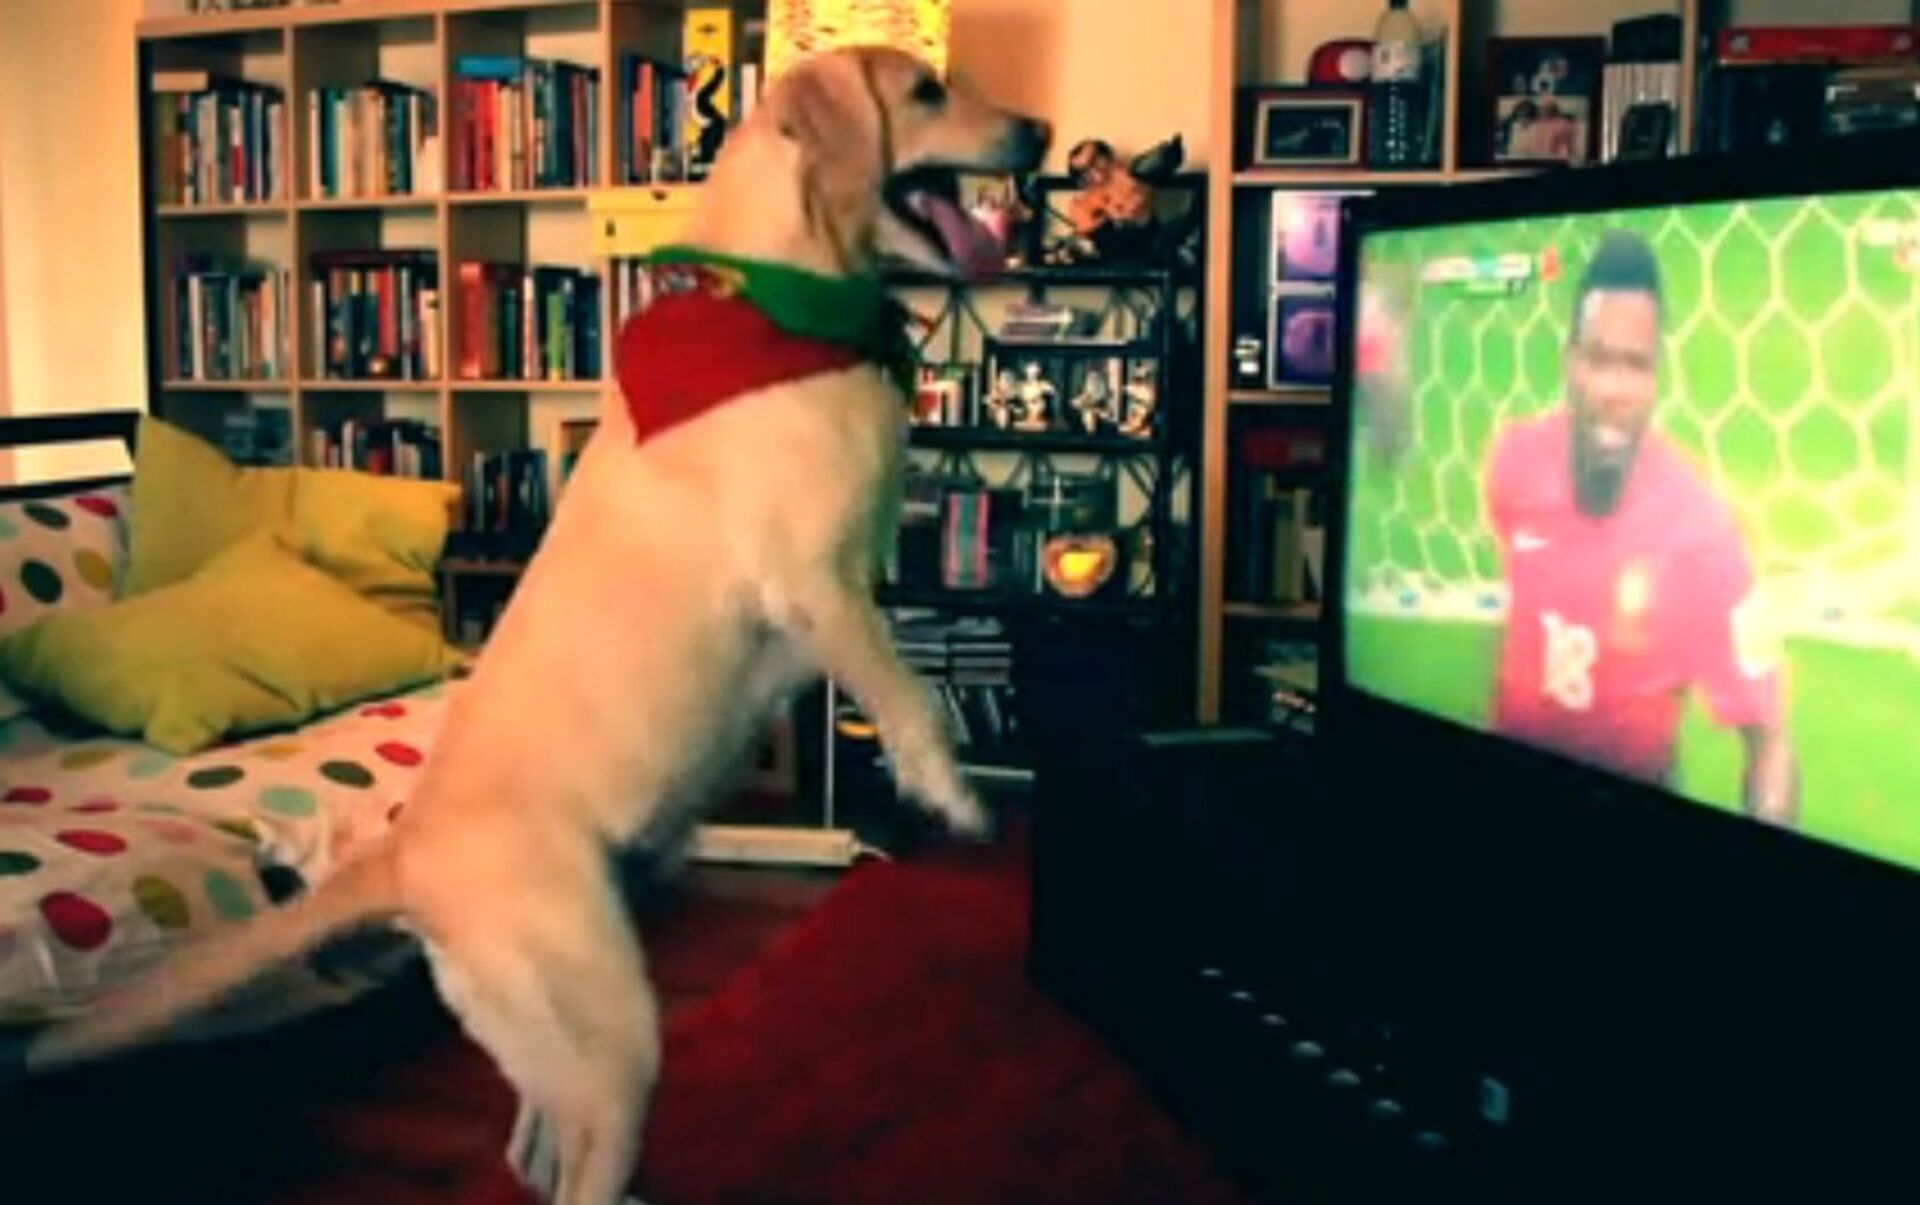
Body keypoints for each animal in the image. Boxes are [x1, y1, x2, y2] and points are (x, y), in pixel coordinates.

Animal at [17, 46, 1050, 1205]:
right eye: (926, 94)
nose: (1043, 135)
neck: (781, 296)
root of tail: (406, 854)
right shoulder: (818, 583)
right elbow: (909, 692)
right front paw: (952, 795)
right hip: (610, 1024)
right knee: (574, 1155)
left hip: (560, 1034)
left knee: (536, 1153)